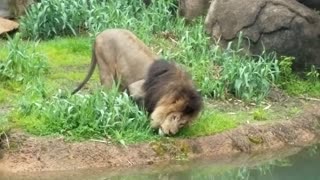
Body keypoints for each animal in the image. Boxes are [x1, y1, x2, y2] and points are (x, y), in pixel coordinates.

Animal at [72, 28, 202, 135]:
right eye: (174, 117)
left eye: (182, 124)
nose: (171, 133)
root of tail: (99, 34)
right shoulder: (135, 88)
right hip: (106, 71)